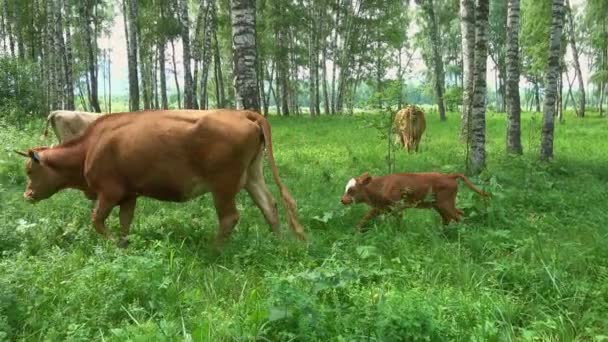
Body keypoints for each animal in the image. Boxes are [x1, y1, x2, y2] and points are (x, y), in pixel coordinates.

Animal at [16, 109, 306, 248]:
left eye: (30, 170)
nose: (27, 195)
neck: (90, 147)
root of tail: (241, 113)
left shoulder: (108, 193)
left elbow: (97, 221)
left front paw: (114, 245)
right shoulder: (129, 195)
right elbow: (124, 223)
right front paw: (124, 244)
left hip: (223, 186)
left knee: (229, 217)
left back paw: (213, 250)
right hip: (252, 176)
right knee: (269, 205)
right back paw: (277, 243)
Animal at [342, 172, 490, 231]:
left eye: (352, 190)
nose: (342, 200)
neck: (382, 186)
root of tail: (449, 175)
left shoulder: (397, 207)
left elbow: (398, 222)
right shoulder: (380, 207)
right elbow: (365, 218)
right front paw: (356, 232)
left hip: (445, 204)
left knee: (459, 216)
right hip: (440, 205)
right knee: (453, 216)